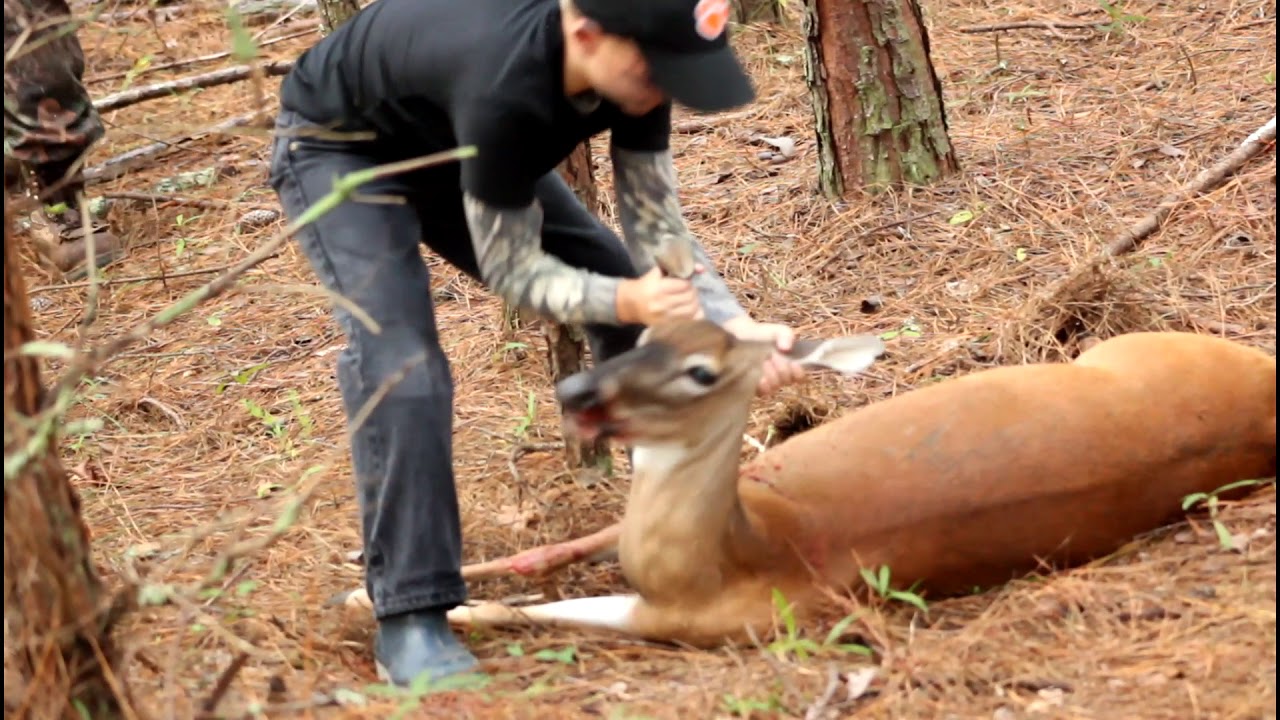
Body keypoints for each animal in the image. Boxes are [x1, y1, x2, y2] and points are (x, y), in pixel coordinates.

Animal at [337, 319, 1269, 645]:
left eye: (703, 369)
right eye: (646, 332)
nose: (576, 392)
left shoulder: (712, 619)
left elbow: (544, 604)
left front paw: (398, 606)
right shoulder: (756, 477)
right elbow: (547, 556)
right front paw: (364, 586)